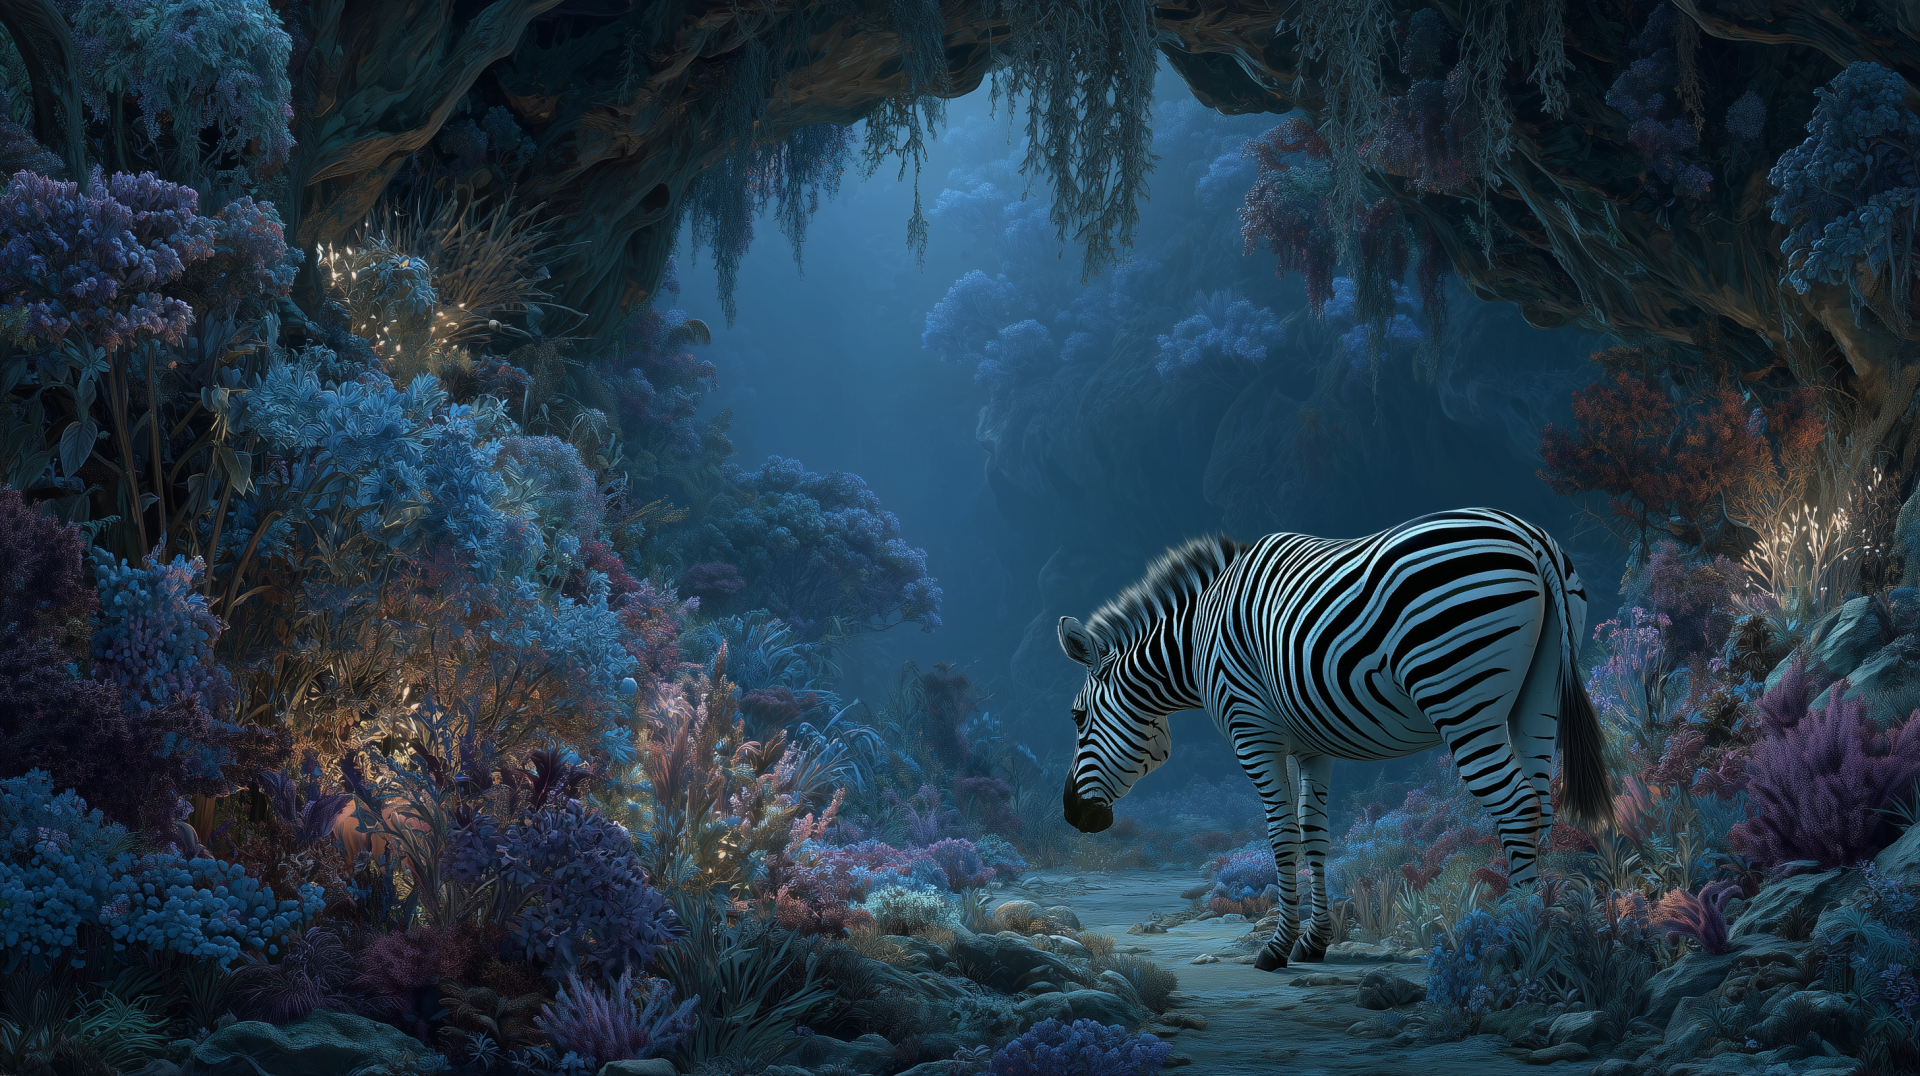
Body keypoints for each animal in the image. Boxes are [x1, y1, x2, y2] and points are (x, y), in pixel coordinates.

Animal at [1057, 508, 1613, 970]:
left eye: (1077, 716)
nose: (1072, 815)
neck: (1198, 640)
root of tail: (1530, 536)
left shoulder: (1252, 731)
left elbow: (1282, 837)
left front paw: (1277, 947)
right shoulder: (1310, 744)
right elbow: (1315, 836)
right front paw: (1314, 941)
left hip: (1461, 700)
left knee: (1516, 805)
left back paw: (1519, 938)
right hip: (1538, 697)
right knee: (1540, 803)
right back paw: (1547, 929)